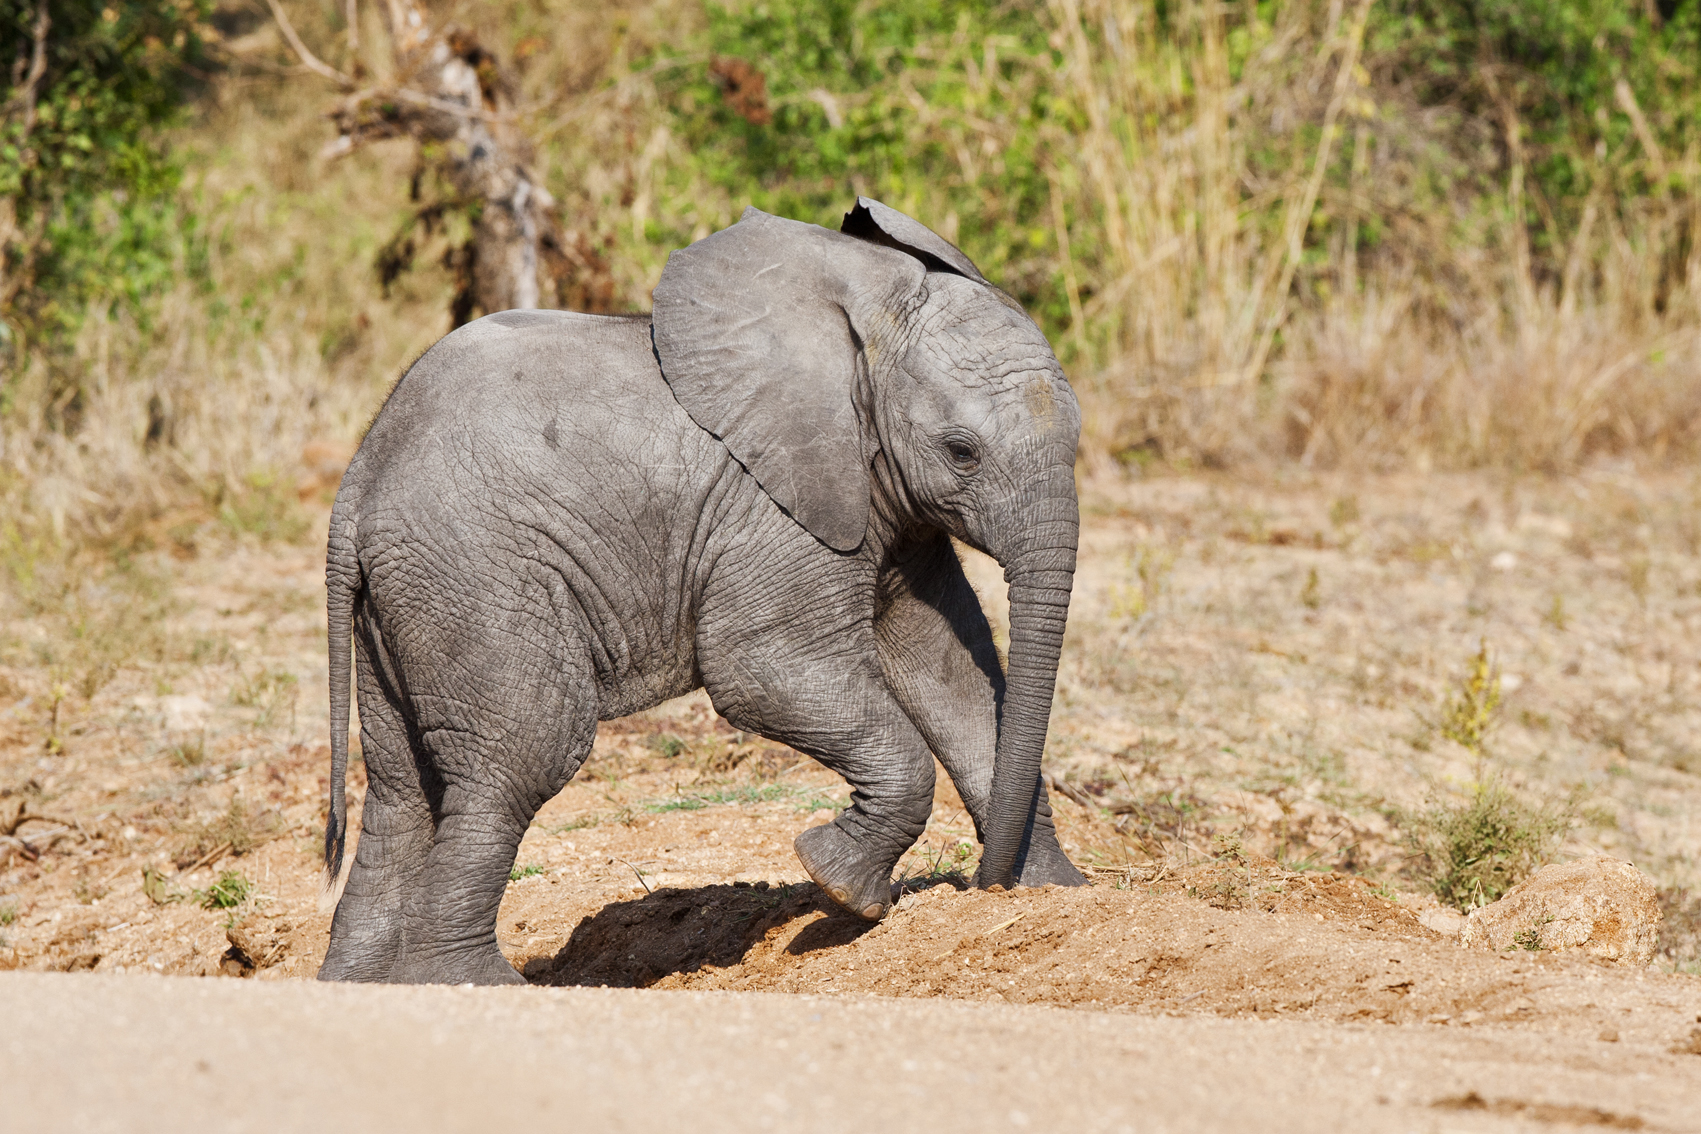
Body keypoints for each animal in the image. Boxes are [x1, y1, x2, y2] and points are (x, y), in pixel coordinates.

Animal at [317, 198, 1084, 985]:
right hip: (478, 578)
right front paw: (839, 885)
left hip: (409, 597)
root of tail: (358, 483)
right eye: (961, 452)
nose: (988, 882)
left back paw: (356, 985)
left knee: (403, 790)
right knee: (518, 761)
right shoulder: (772, 509)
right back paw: (479, 983)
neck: (861, 320)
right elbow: (761, 670)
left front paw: (1056, 895)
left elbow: (952, 678)